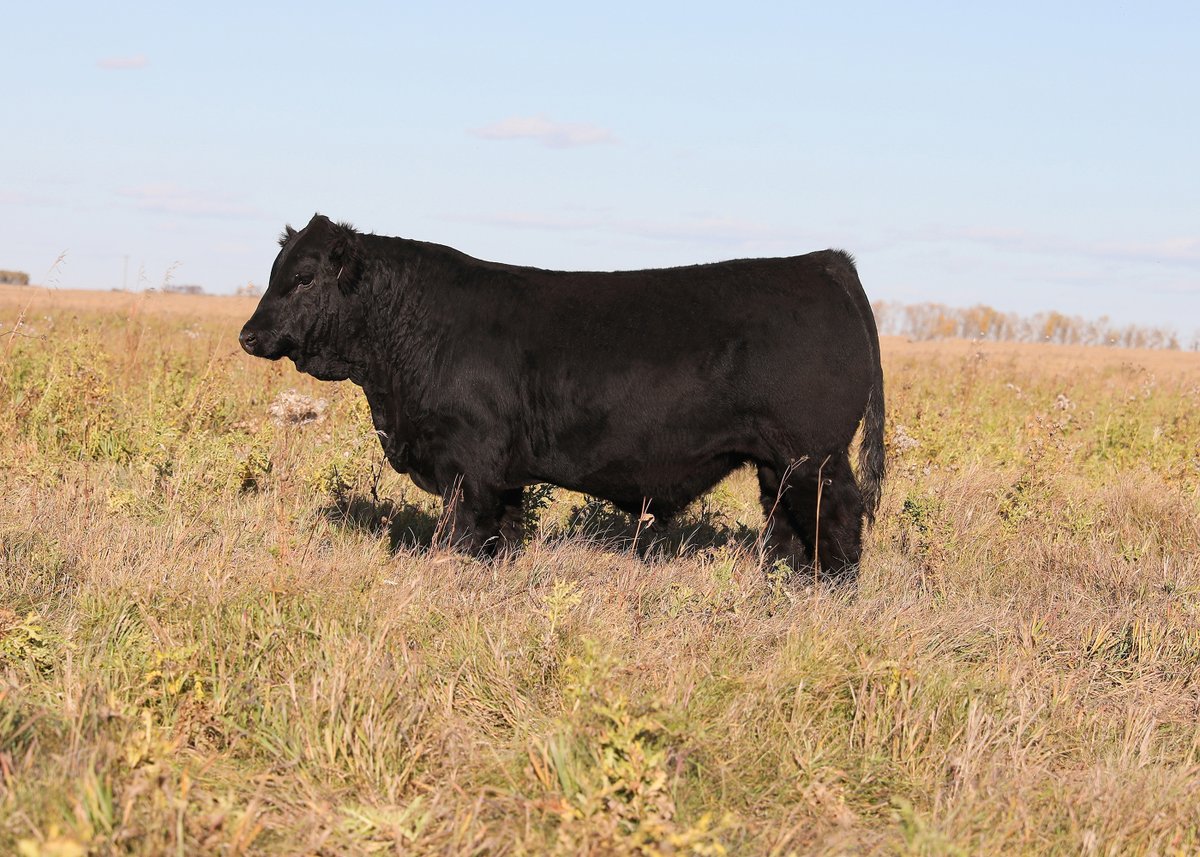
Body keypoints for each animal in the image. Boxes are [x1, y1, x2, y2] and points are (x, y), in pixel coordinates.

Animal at [240, 214, 885, 581]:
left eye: (303, 278)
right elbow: (498, 534)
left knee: (840, 515)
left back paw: (834, 591)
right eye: (276, 271)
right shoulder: (498, 473)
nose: (249, 335)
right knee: (789, 523)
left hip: (816, 454)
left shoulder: (467, 462)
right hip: (779, 461)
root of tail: (822, 262)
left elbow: (462, 533)